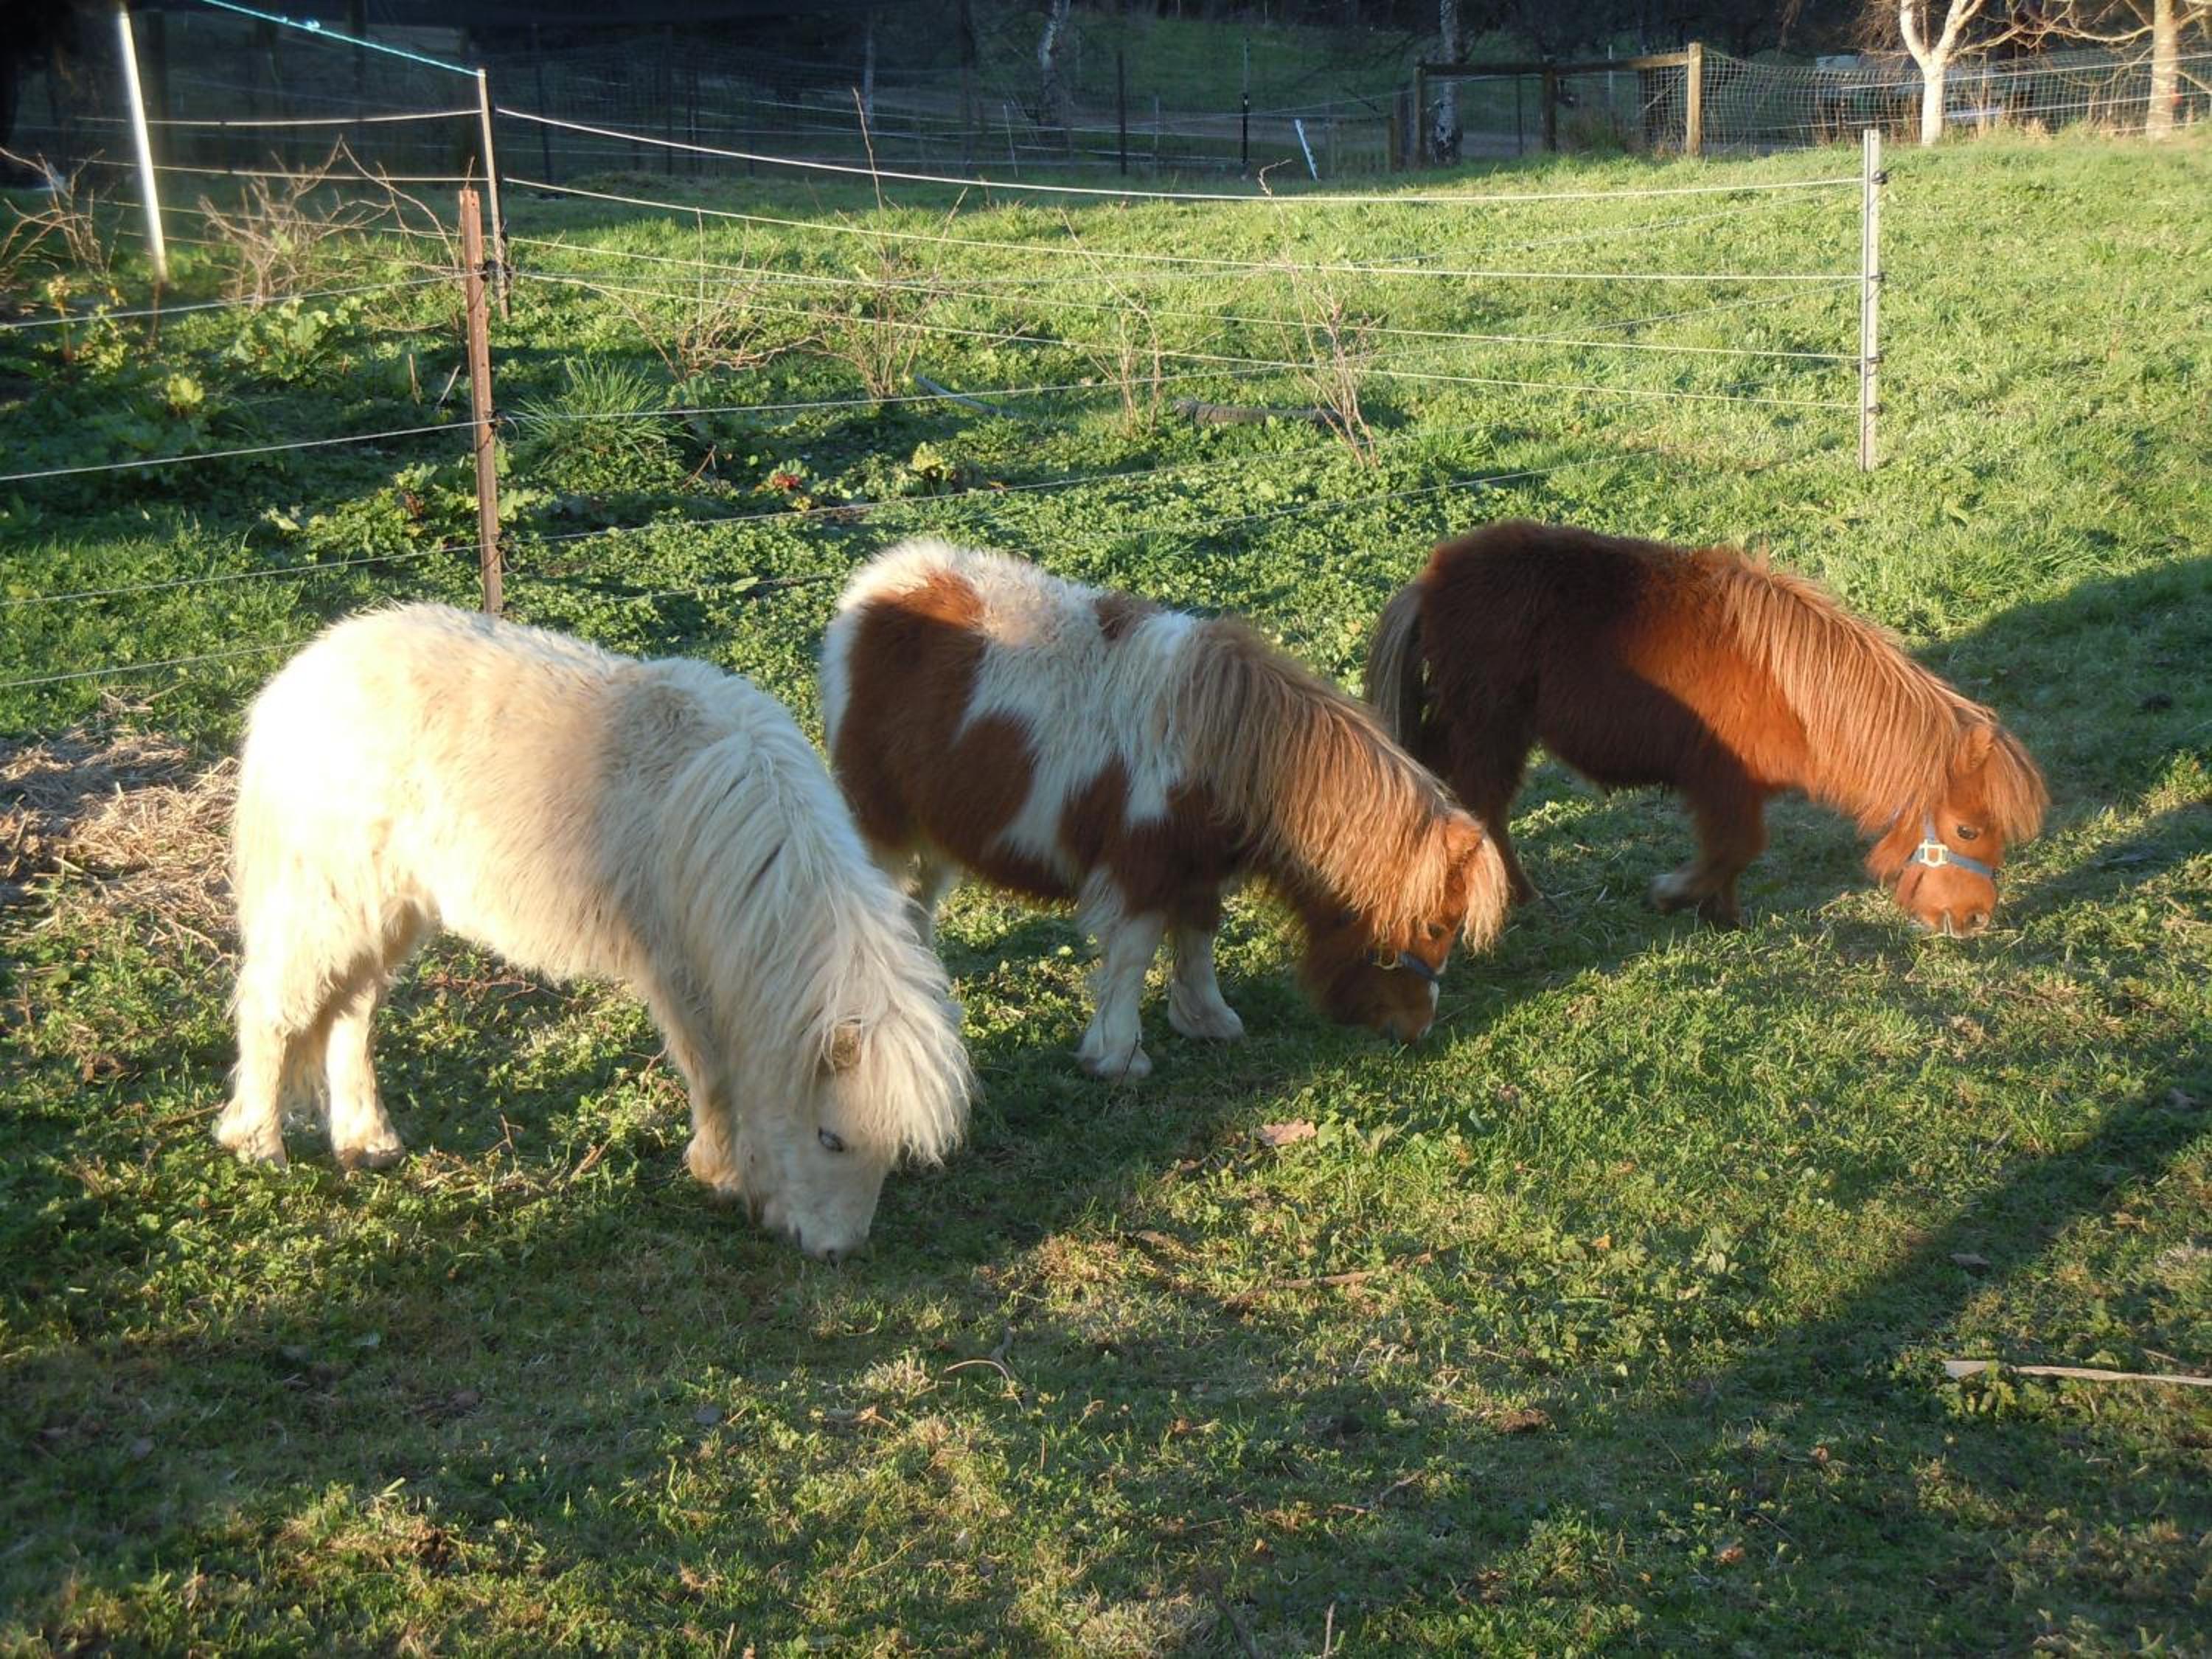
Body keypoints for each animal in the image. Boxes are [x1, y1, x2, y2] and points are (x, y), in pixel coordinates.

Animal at [211, 604, 971, 1261]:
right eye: (831, 1139)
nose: (836, 1252)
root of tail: (301, 677)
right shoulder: (676, 969)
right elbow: (715, 1070)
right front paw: (721, 1173)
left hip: (390, 909)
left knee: (351, 1012)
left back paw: (366, 1141)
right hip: (330, 900)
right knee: (277, 1006)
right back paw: (258, 1143)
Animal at [820, 538, 1510, 1080]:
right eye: (1434, 926)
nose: (1420, 1030)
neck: (1229, 749)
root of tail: (881, 581)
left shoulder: (1197, 868)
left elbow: (1199, 937)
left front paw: (1208, 1019)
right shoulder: (1141, 871)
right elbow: (1133, 956)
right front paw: (1119, 1057)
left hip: (930, 838)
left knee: (916, 909)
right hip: (881, 829)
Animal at [1365, 520, 2047, 935]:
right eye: (1967, 829)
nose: (1975, 919)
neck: (1795, 689)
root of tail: (1434, 577)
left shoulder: (1737, 790)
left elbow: (1736, 854)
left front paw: (1724, 913)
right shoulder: (1723, 784)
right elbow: (1735, 848)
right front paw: (1677, 895)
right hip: (1490, 732)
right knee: (1486, 811)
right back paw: (1519, 899)